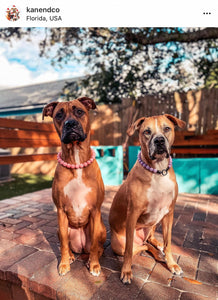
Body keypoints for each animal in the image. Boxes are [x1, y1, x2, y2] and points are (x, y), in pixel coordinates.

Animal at [42, 96, 106, 276]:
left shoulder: (95, 211)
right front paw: (64, 264)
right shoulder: (61, 212)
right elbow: (63, 243)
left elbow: (95, 246)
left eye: (79, 111)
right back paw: (71, 256)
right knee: (66, 243)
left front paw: (94, 265)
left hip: (101, 228)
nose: (70, 123)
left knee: (97, 247)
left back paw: (92, 258)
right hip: (61, 228)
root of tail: (81, 248)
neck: (76, 160)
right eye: (59, 115)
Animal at [109, 113, 186, 284]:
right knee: (139, 247)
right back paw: (157, 253)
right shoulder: (133, 214)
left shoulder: (169, 213)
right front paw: (126, 271)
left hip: (155, 222)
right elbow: (129, 251)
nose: (159, 140)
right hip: (118, 245)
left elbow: (168, 243)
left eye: (167, 128)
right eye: (147, 132)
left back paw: (158, 248)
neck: (158, 172)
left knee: (149, 241)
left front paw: (172, 264)